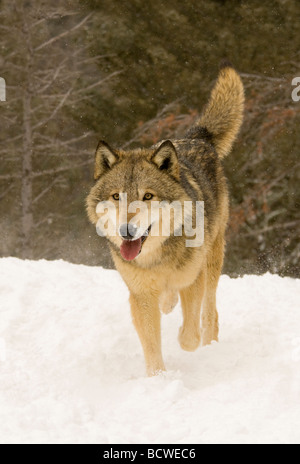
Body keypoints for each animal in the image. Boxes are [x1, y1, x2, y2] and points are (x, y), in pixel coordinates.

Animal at [86, 64, 244, 376]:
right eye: (117, 196)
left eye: (148, 196)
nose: (126, 232)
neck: (157, 256)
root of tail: (197, 137)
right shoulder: (141, 295)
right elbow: (151, 344)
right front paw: (158, 379)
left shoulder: (192, 280)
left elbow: (189, 337)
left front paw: (188, 341)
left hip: (213, 258)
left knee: (210, 309)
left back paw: (209, 340)